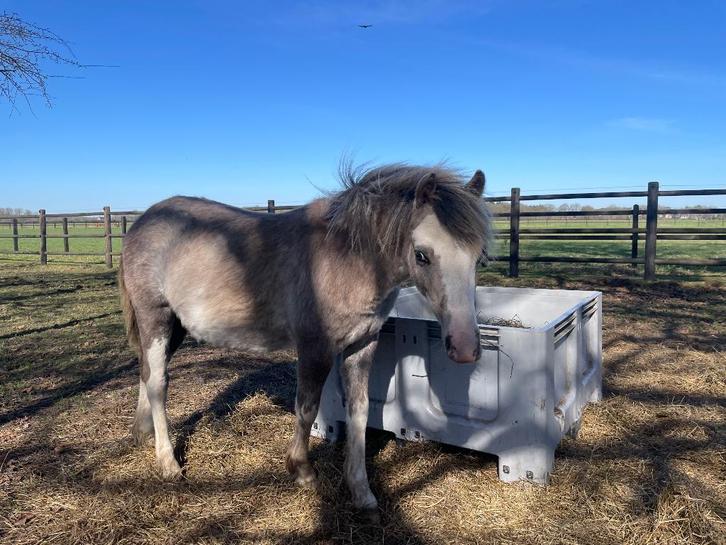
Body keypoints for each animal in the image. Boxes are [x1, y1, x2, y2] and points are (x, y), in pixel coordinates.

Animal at [118, 163, 491, 513]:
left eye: (478, 255)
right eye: (422, 255)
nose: (465, 347)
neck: (347, 259)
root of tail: (143, 221)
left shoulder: (362, 346)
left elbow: (359, 411)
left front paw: (361, 491)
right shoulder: (316, 348)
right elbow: (307, 408)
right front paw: (301, 470)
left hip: (175, 327)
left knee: (146, 373)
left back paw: (142, 433)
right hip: (156, 319)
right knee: (158, 383)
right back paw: (168, 463)